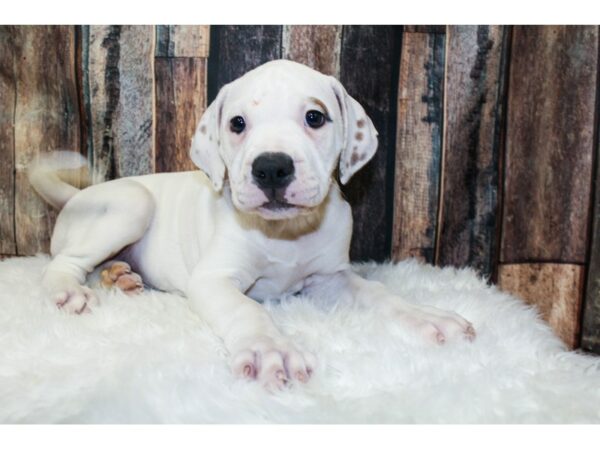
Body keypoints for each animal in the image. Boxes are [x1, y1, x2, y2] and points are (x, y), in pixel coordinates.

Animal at [30, 59, 476, 388]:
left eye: (315, 117)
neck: (284, 233)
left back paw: (120, 275)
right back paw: (70, 291)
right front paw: (270, 349)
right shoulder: (214, 279)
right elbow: (247, 310)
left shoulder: (330, 278)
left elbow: (379, 293)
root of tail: (76, 197)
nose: (272, 167)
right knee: (64, 263)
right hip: (133, 204)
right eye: (237, 124)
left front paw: (428, 317)